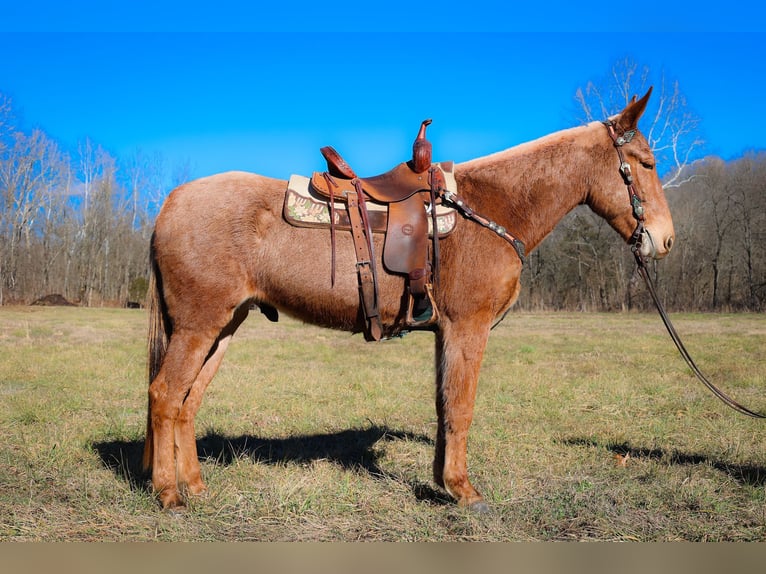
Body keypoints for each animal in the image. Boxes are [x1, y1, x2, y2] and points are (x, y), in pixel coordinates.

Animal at [146, 89, 680, 512]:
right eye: (647, 164)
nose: (665, 240)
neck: (490, 206)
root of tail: (170, 202)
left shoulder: (446, 332)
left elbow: (444, 405)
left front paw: (443, 482)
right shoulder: (468, 327)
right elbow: (461, 406)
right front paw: (464, 491)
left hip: (223, 326)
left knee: (188, 402)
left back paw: (196, 487)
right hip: (198, 326)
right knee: (165, 395)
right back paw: (169, 494)